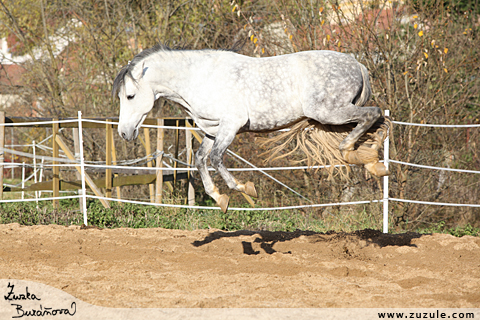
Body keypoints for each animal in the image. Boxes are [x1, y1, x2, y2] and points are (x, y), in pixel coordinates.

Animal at [113, 43, 386, 212]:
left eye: (130, 96)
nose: (124, 133)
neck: (199, 78)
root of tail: (357, 64)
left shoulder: (231, 125)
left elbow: (216, 158)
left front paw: (244, 188)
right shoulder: (212, 130)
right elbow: (201, 159)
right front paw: (220, 198)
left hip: (329, 112)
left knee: (374, 114)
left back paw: (354, 153)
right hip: (332, 116)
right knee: (376, 122)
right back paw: (370, 160)